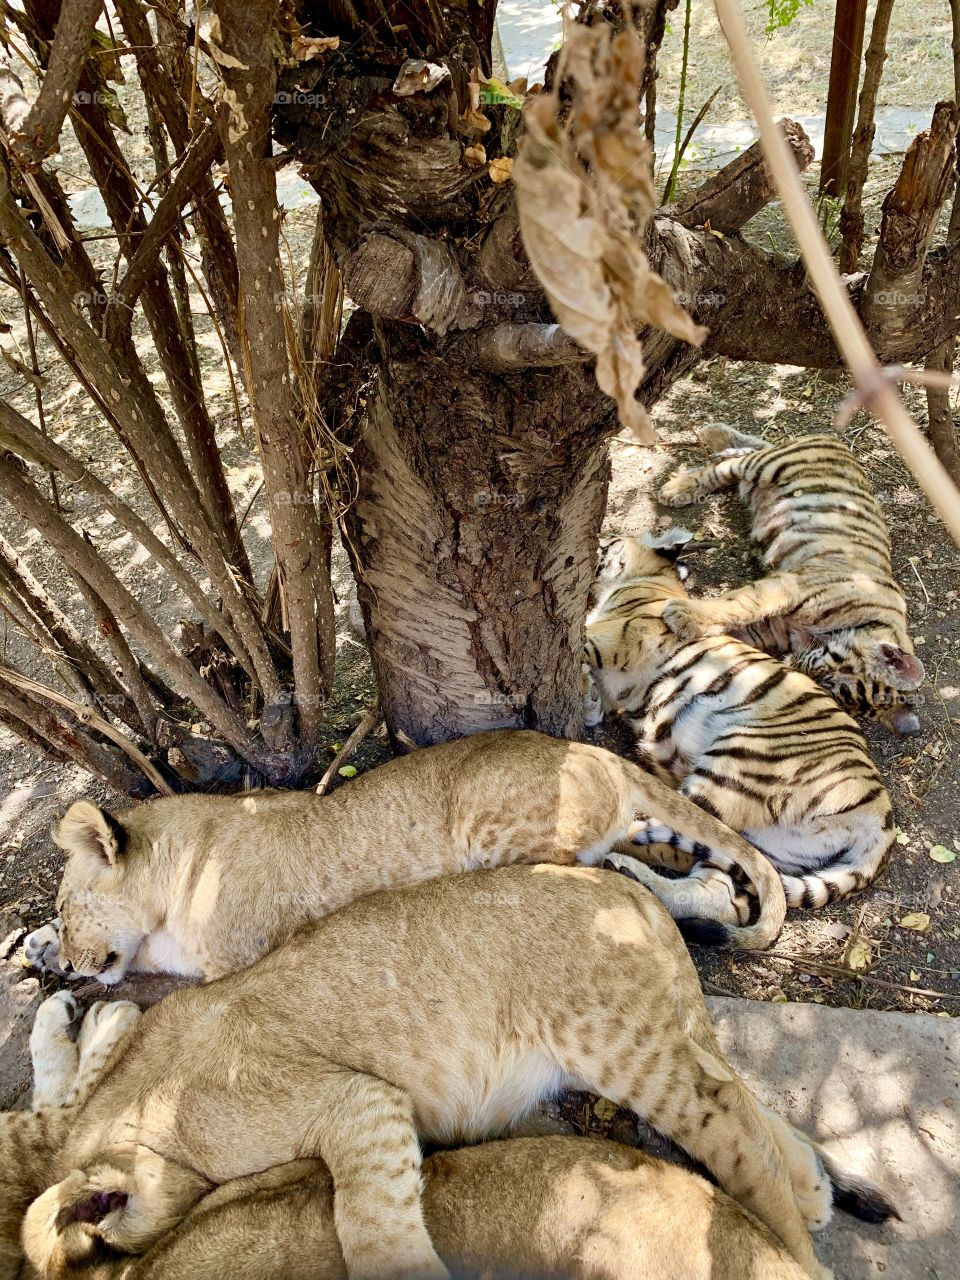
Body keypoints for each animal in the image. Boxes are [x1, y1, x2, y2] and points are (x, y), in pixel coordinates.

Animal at [20, 866, 893, 1280]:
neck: (139, 1104)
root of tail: (616, 882)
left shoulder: (358, 1099)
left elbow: (367, 1221)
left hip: (615, 1039)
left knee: (735, 1134)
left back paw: (797, 1244)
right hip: (659, 1027)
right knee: (745, 1102)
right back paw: (816, 1190)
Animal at [584, 528, 896, 911]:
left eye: (612, 542)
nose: (601, 541)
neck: (649, 579)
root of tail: (880, 812)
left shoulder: (620, 637)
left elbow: (585, 643)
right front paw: (588, 698)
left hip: (735, 766)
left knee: (668, 825)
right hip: (773, 846)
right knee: (723, 885)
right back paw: (626, 868)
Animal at [656, 425, 924, 736]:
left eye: (830, 691)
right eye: (825, 673)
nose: (794, 665)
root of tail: (833, 439)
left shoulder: (770, 626)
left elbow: (737, 627)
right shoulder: (788, 587)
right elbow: (739, 604)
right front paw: (684, 616)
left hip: (758, 478)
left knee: (742, 456)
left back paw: (716, 442)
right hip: (770, 466)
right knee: (726, 467)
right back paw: (680, 484)